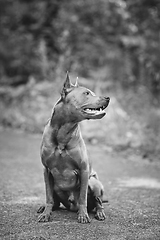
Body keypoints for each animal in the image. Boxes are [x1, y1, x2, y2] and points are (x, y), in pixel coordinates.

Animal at [37, 72, 110, 223]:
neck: (63, 132)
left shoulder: (84, 170)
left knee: (98, 202)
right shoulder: (46, 170)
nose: (108, 98)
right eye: (87, 93)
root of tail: (71, 207)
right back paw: (45, 207)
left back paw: (99, 213)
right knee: (55, 202)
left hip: (94, 182)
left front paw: (83, 215)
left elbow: (82, 197)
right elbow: (48, 197)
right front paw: (46, 214)